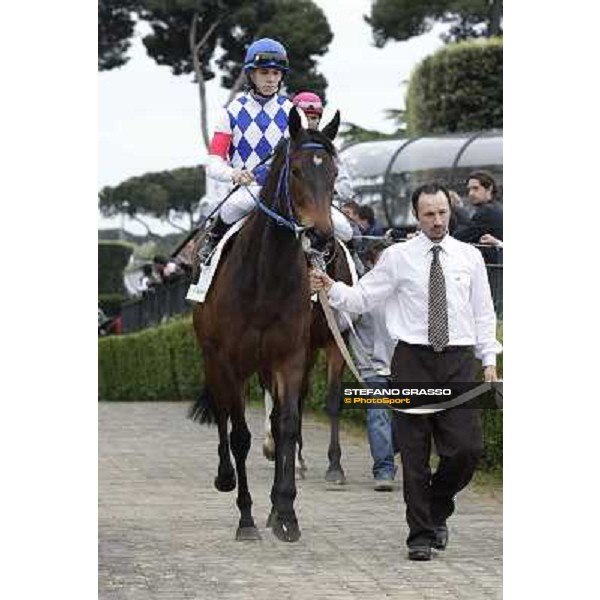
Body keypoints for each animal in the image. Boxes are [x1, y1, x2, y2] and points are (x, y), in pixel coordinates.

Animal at [191, 108, 342, 544]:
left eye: (334, 173)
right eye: (296, 170)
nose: (320, 236)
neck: (265, 279)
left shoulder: (289, 357)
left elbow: (288, 425)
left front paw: (285, 512)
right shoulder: (230, 362)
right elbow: (239, 434)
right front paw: (246, 519)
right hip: (213, 359)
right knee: (222, 413)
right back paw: (225, 477)